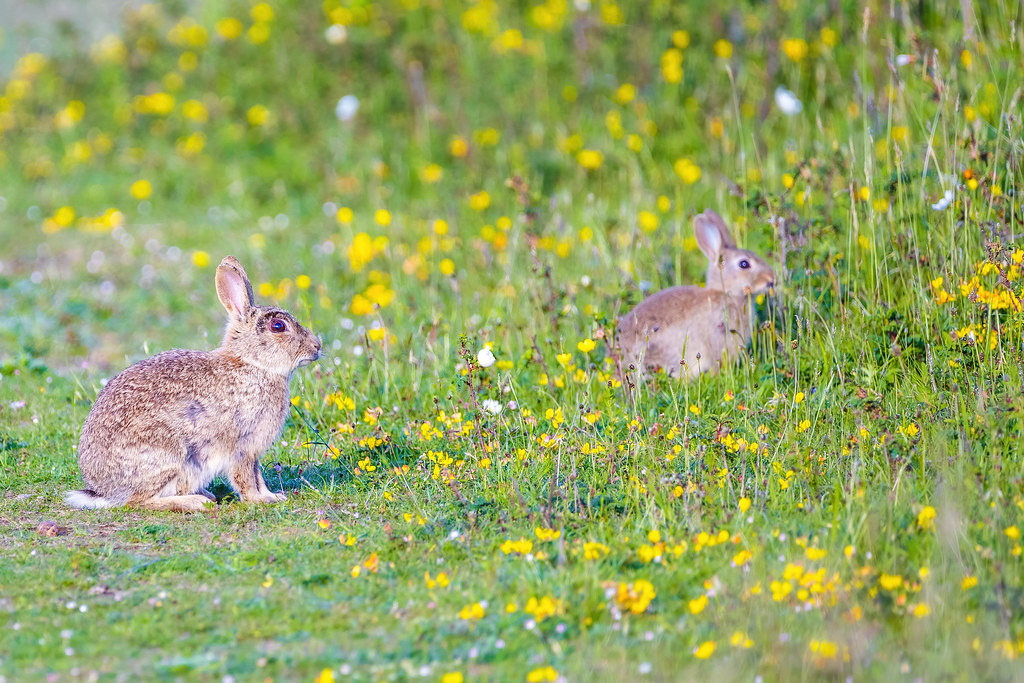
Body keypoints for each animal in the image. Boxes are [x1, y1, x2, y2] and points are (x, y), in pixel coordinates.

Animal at [66, 255, 322, 512]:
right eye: (278, 326)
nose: (317, 346)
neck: (252, 362)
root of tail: (103, 491)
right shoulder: (242, 446)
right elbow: (246, 478)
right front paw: (260, 500)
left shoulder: (253, 450)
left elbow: (257, 476)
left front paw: (273, 496)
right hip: (168, 454)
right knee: (137, 501)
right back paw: (196, 501)